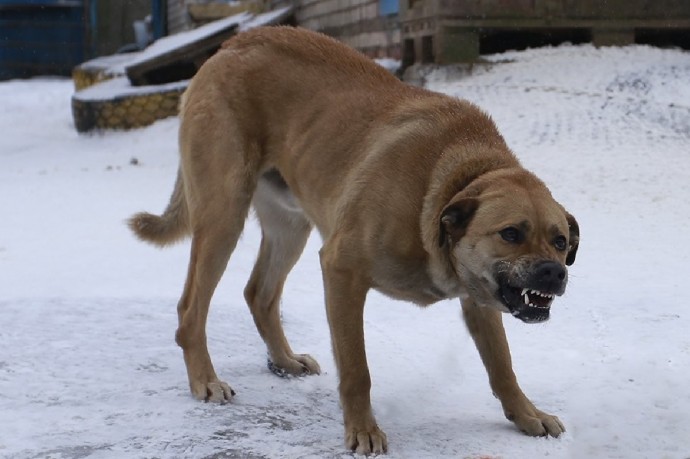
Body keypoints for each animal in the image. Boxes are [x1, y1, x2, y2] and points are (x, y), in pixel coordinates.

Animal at [127, 26, 576, 456]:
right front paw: (363, 431)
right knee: (190, 309)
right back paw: (205, 379)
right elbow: (357, 370)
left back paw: (284, 361)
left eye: (560, 241)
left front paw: (527, 414)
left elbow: (503, 366)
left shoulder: (479, 298)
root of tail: (231, 44)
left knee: (259, 294)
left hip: (290, 226)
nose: (553, 273)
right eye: (511, 233)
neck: (450, 180)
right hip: (224, 213)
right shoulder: (341, 270)